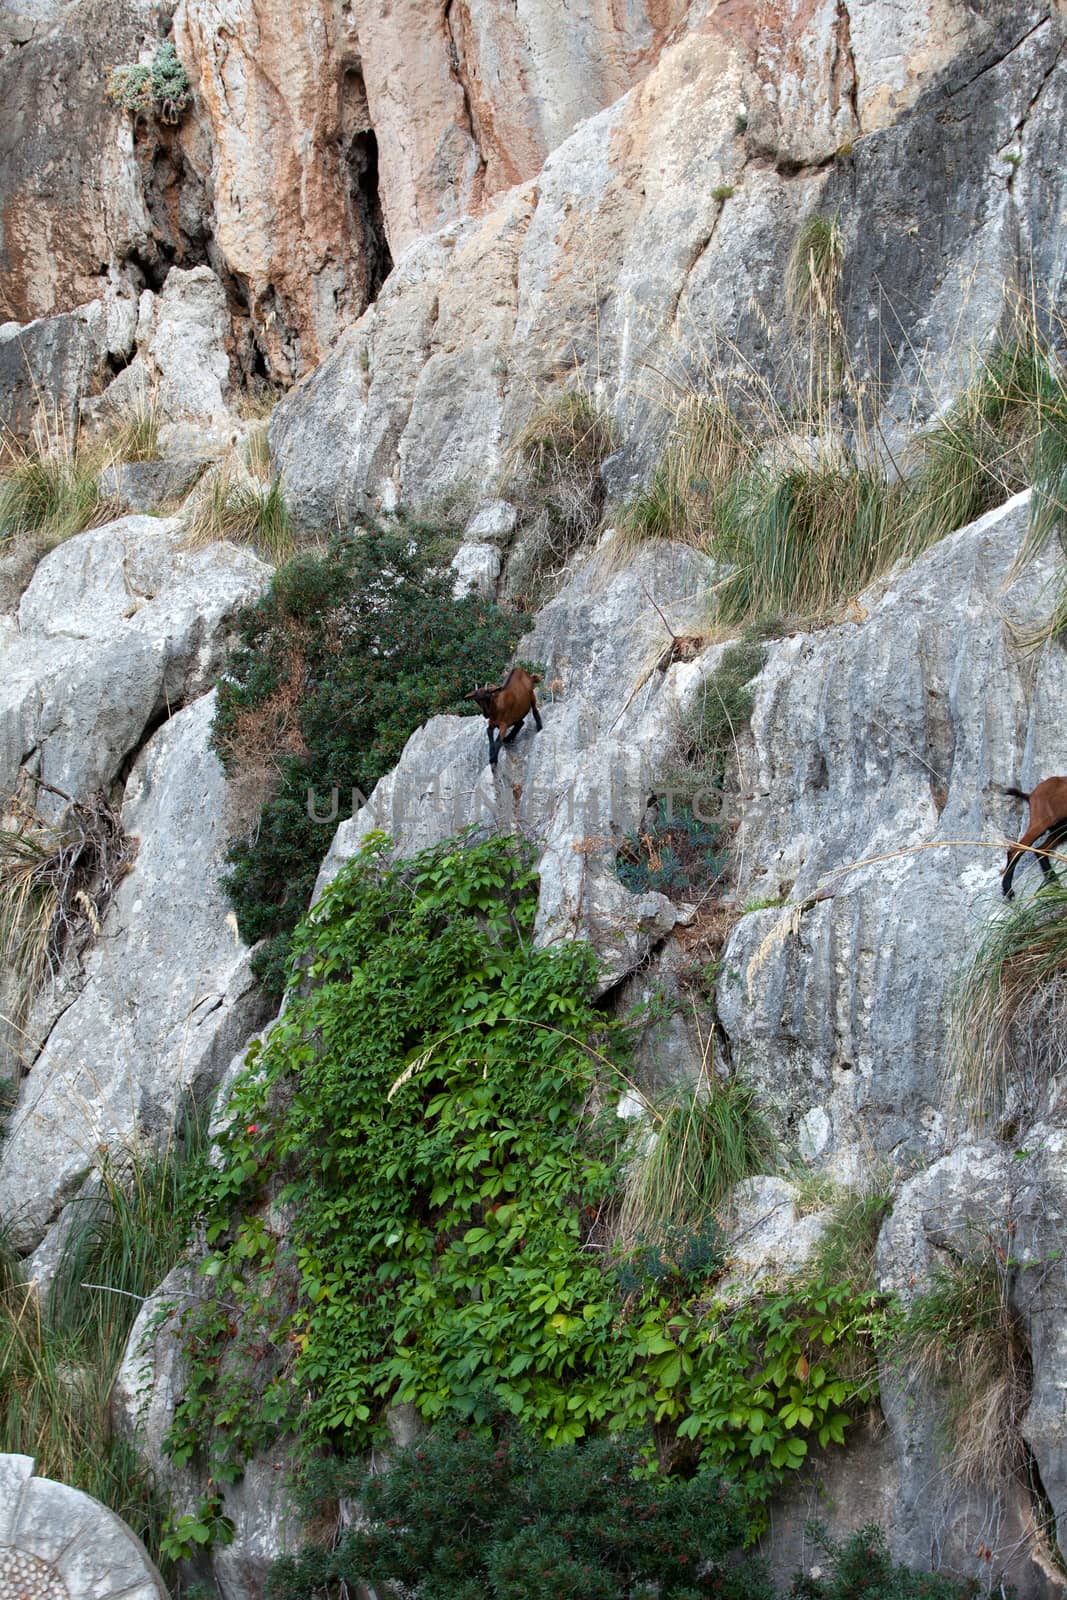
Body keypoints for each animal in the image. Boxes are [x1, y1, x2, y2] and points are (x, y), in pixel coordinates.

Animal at [1004, 774, 1067, 902]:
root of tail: (1031, 795)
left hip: (1060, 828)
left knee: (1041, 850)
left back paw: (1054, 881)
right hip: (1040, 823)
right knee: (1016, 850)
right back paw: (1008, 891)